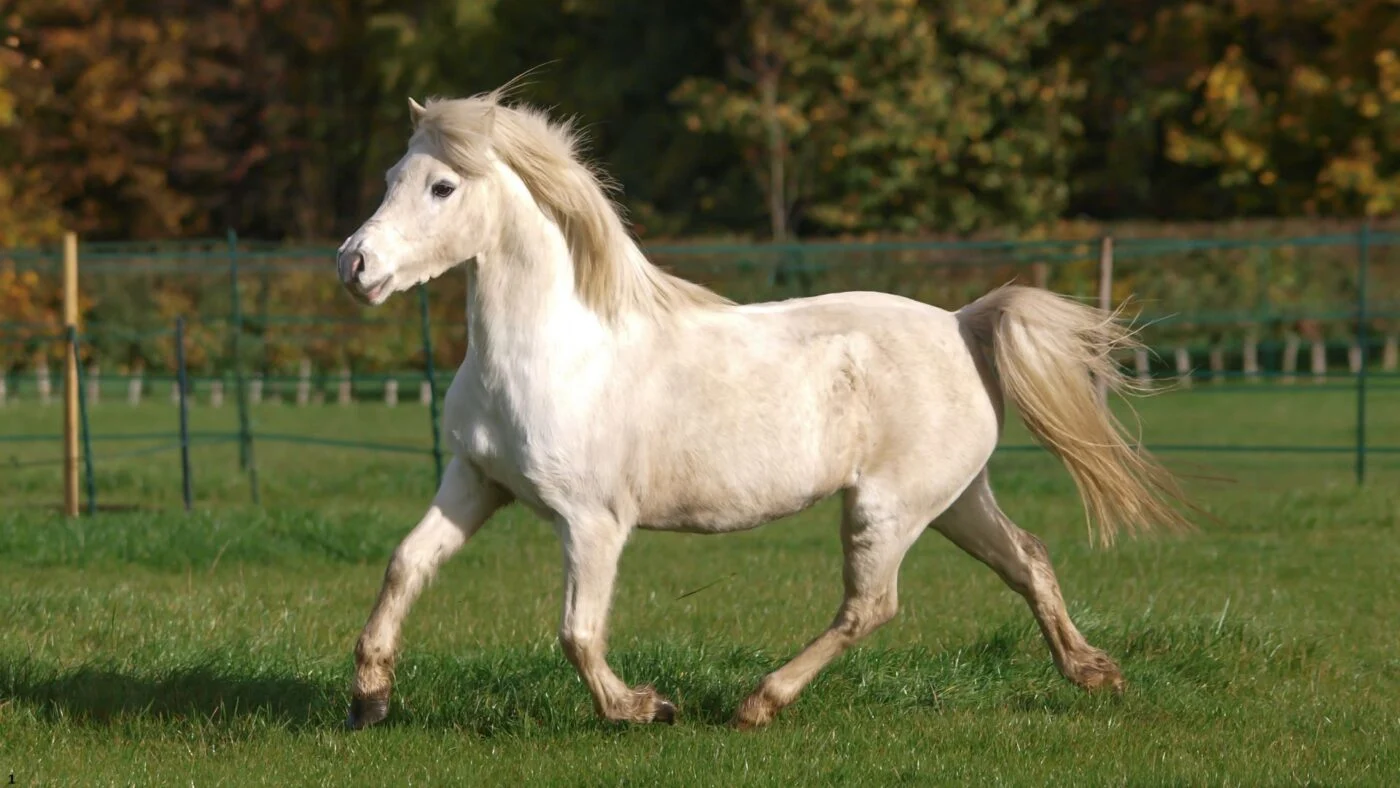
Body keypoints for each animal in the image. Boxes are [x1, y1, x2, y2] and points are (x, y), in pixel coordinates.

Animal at [334, 84, 1194, 731]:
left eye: (442, 186)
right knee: (1027, 559)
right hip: (954, 499)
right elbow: (405, 565)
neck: (551, 352)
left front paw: (643, 709)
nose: (354, 265)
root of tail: (963, 324)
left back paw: (758, 703)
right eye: (391, 175)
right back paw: (1093, 672)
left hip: (888, 508)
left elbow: (577, 633)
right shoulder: (476, 481)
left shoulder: (592, 521)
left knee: (871, 606)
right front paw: (369, 699)